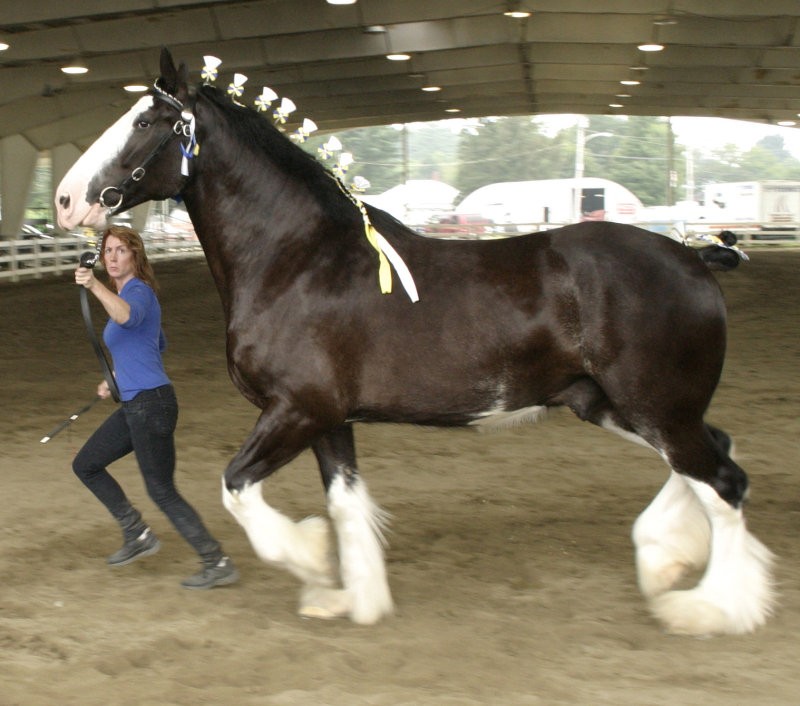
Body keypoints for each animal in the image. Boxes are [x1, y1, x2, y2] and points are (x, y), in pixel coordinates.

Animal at [56, 49, 776, 632]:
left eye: (145, 122)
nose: (64, 200)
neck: (298, 261)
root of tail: (694, 257)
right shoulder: (327, 420)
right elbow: (345, 506)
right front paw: (352, 600)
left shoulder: (296, 410)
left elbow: (238, 489)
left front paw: (311, 562)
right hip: (612, 404)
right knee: (713, 455)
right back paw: (665, 561)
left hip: (655, 406)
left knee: (724, 482)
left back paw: (713, 608)